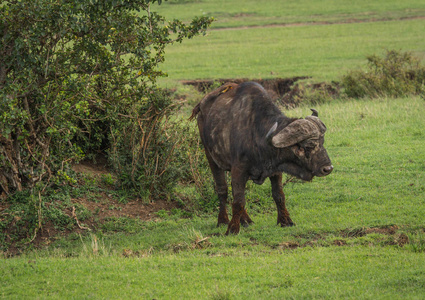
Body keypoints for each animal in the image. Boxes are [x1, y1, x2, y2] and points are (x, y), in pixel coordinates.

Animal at [189, 81, 332, 234]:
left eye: (322, 142)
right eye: (308, 147)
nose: (328, 168)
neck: (256, 134)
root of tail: (201, 106)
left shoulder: (275, 169)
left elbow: (278, 195)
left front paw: (285, 221)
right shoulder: (238, 169)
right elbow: (238, 200)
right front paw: (232, 228)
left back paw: (246, 220)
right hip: (211, 157)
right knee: (222, 189)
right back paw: (223, 220)